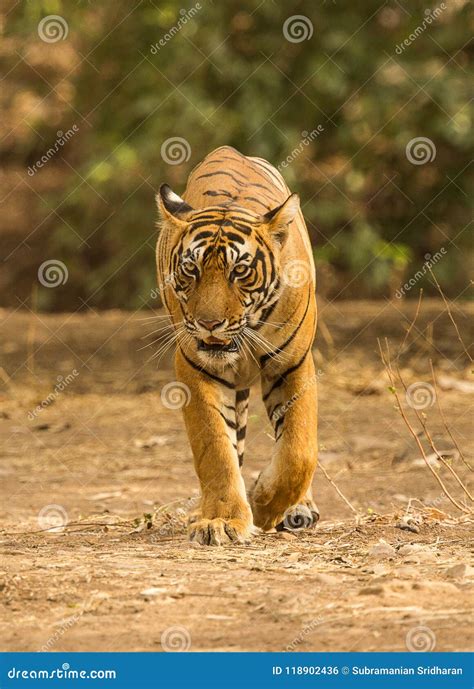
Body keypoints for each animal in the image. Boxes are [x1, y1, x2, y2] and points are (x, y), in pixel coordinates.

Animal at [156, 145, 318, 544]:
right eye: (191, 270)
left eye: (239, 271)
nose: (209, 323)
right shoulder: (195, 367)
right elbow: (215, 448)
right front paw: (221, 520)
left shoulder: (293, 365)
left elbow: (298, 450)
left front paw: (263, 503)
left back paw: (298, 509)